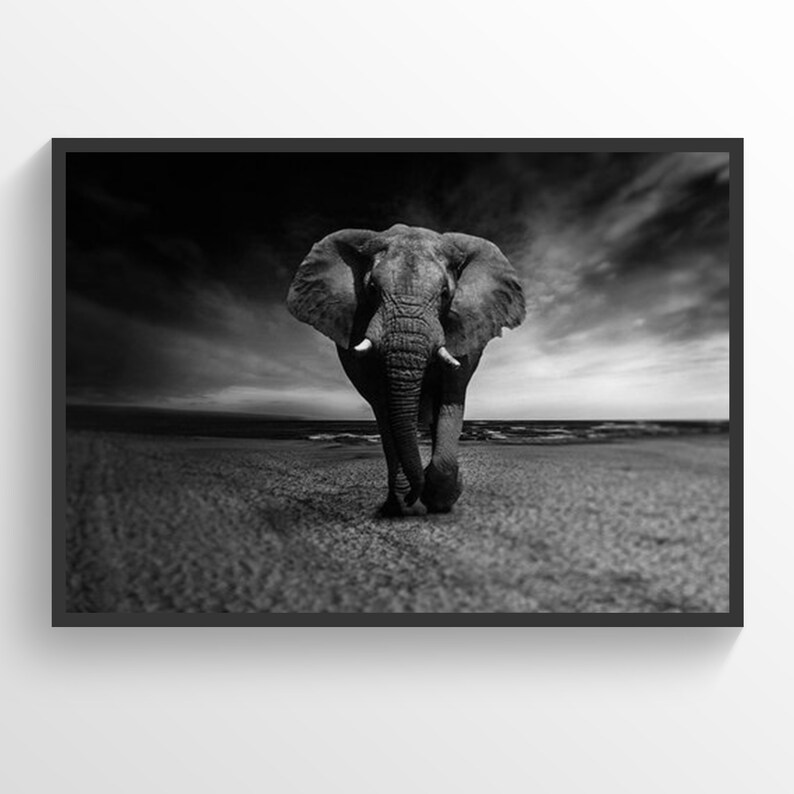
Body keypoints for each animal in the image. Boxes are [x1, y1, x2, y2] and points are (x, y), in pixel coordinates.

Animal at [286, 223, 526, 516]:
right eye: (372, 289)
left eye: (445, 293)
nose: (414, 496)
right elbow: (384, 405)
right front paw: (406, 503)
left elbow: (451, 396)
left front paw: (440, 499)